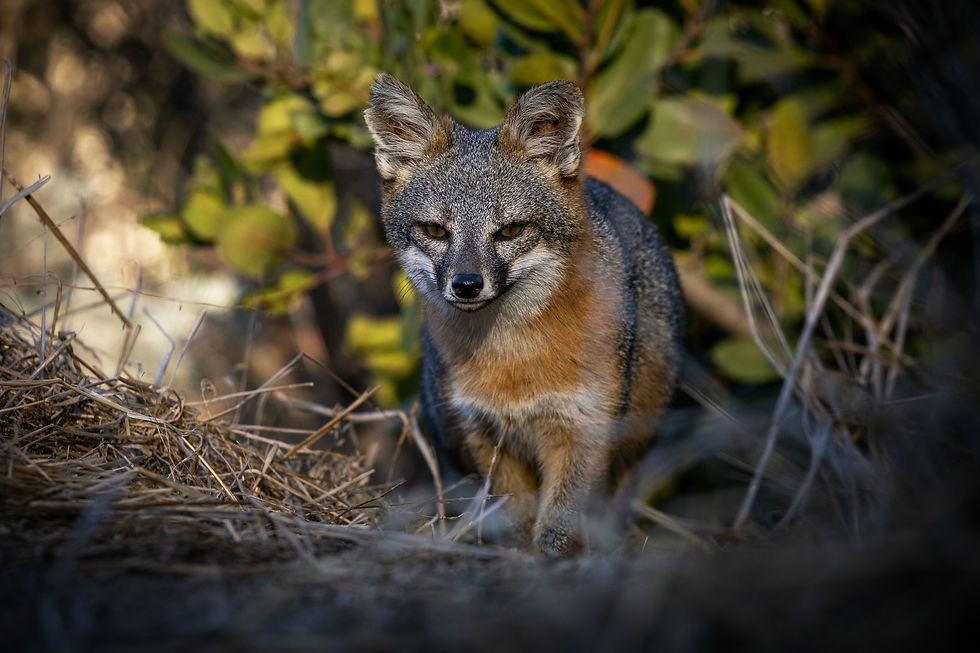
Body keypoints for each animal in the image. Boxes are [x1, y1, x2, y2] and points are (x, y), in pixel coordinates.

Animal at [364, 73, 683, 557]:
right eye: (435, 230)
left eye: (510, 230)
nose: (467, 284)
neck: (513, 364)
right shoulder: (484, 432)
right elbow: (515, 517)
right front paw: (515, 556)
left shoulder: (585, 428)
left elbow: (559, 526)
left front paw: (553, 562)